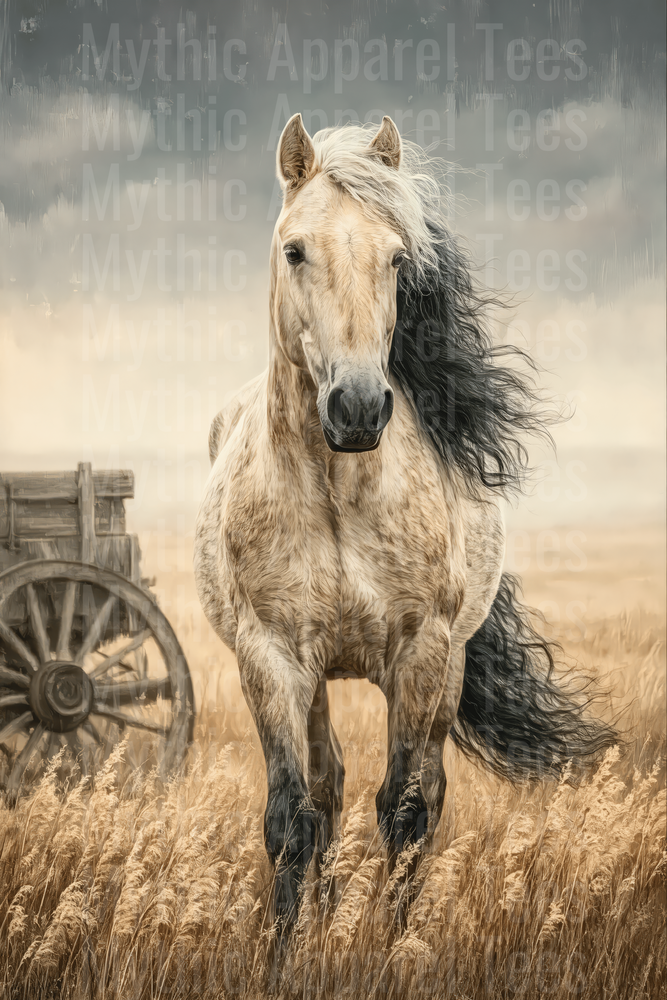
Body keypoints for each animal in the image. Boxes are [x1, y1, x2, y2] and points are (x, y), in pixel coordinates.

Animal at [194, 114, 616, 945]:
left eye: (395, 257)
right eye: (295, 250)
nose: (357, 408)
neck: (338, 495)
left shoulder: (421, 654)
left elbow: (405, 810)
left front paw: (387, 947)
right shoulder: (270, 659)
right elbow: (291, 817)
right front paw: (286, 952)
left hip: (445, 670)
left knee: (423, 791)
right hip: (315, 678)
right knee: (326, 789)